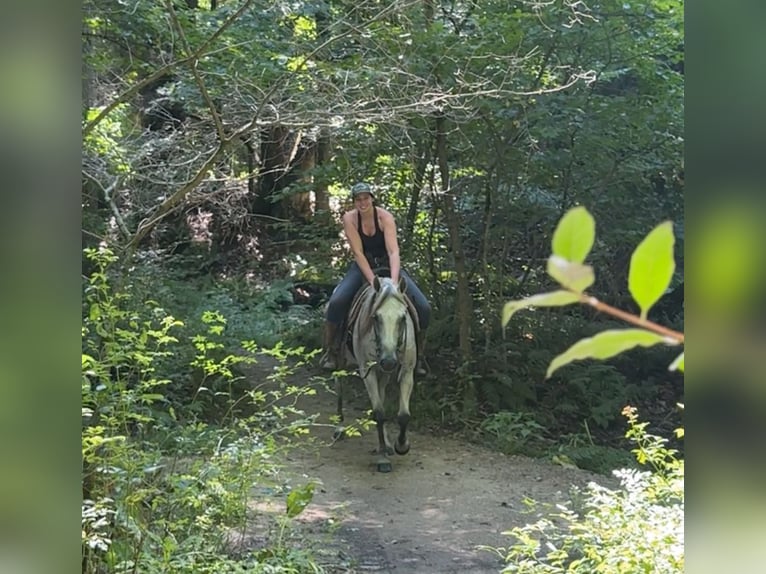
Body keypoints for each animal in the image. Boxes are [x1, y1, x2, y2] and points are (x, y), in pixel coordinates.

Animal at [338, 278, 420, 472]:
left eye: (403, 317)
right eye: (376, 317)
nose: (389, 361)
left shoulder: (407, 371)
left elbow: (403, 414)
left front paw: (401, 446)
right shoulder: (367, 372)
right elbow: (379, 413)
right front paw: (383, 459)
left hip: (384, 374)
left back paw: (388, 445)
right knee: (339, 387)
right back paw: (339, 427)